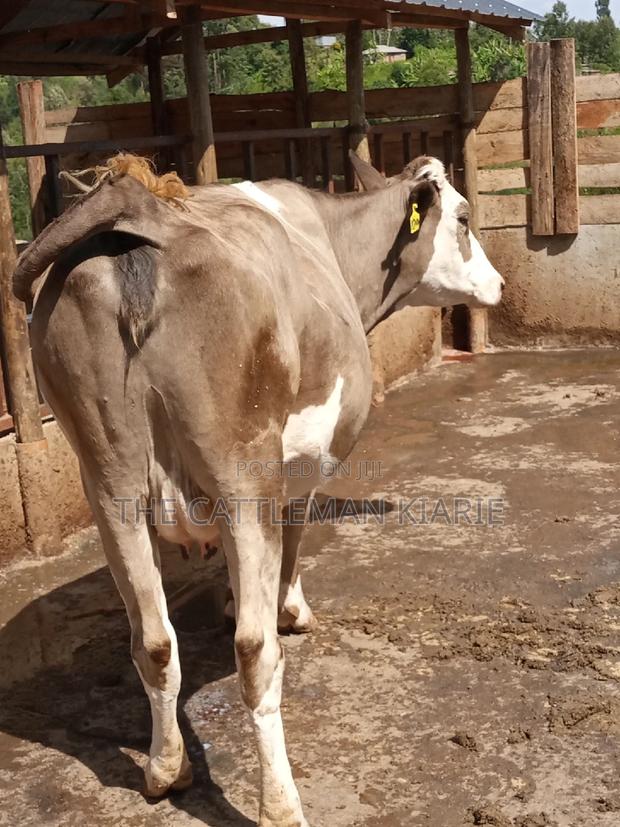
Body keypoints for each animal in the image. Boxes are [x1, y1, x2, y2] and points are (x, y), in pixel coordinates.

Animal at [13, 152, 503, 827]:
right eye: (463, 218)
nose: (500, 285)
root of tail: (141, 207)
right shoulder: (294, 473)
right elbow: (290, 549)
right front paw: (289, 609)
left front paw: (234, 595)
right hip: (240, 469)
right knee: (253, 651)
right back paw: (281, 802)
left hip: (108, 478)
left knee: (154, 640)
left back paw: (166, 769)